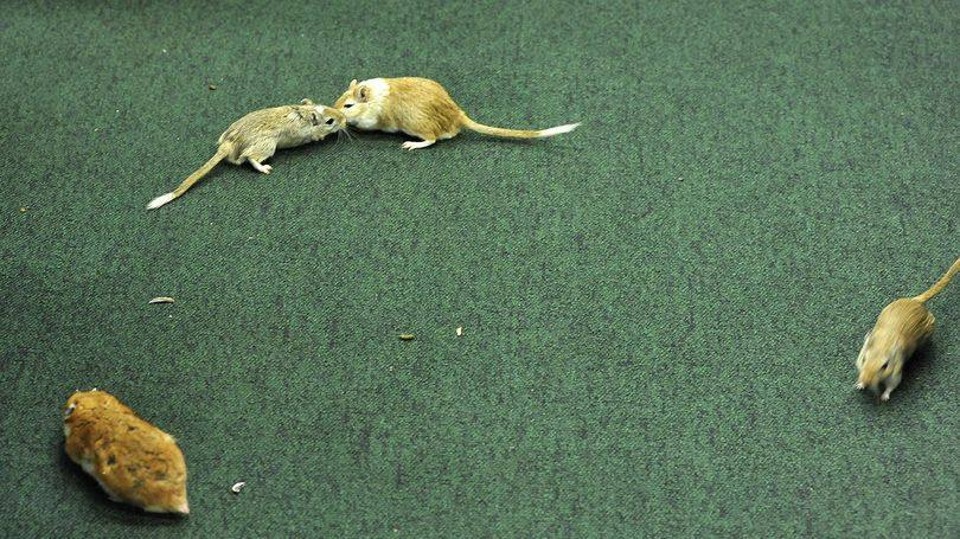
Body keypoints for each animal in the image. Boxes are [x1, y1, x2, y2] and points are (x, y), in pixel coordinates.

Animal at [147, 99, 344, 209]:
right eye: (330, 121)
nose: (343, 118)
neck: (305, 112)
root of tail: (226, 146)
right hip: (268, 146)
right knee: (248, 158)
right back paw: (265, 169)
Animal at [333, 77, 580, 150]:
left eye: (348, 106)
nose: (335, 113)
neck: (372, 98)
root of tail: (458, 115)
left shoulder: (371, 119)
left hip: (417, 125)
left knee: (432, 139)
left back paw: (411, 145)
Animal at [856, 257, 960, 401]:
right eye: (863, 359)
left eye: (885, 366)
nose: (866, 383)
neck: (883, 343)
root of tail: (916, 301)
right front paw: (859, 385)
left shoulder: (896, 371)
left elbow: (892, 385)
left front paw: (884, 398)